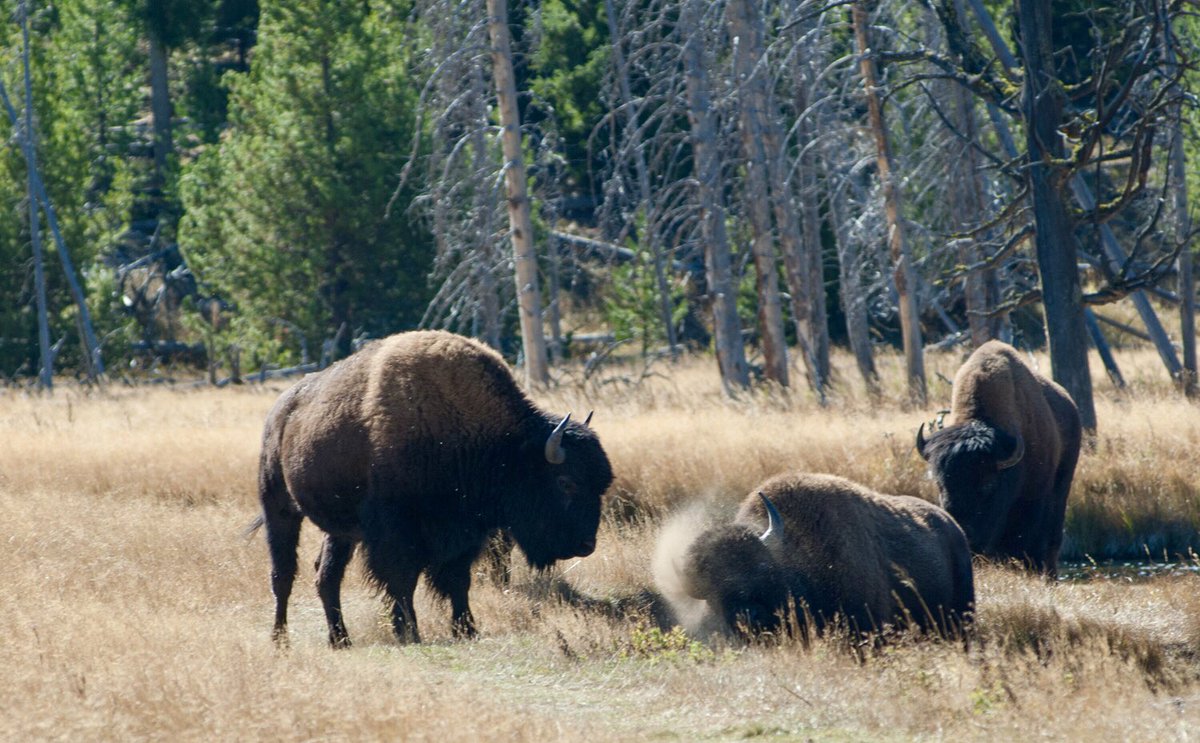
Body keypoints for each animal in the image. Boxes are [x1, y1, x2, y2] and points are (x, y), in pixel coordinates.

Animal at [255, 330, 614, 646]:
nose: (586, 545)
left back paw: (340, 640)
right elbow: (402, 579)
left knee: (326, 575)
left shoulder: (463, 532)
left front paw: (466, 629)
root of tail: (279, 413)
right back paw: (280, 640)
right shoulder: (397, 530)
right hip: (279, 507)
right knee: (283, 574)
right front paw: (410, 632)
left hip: (341, 531)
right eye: (566, 482)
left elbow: (458, 580)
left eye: (601, 484)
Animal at [916, 340, 1082, 577]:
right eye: (940, 484)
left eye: (988, 484)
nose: (967, 537)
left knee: (1052, 541)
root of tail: (1071, 406)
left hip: (1062, 486)